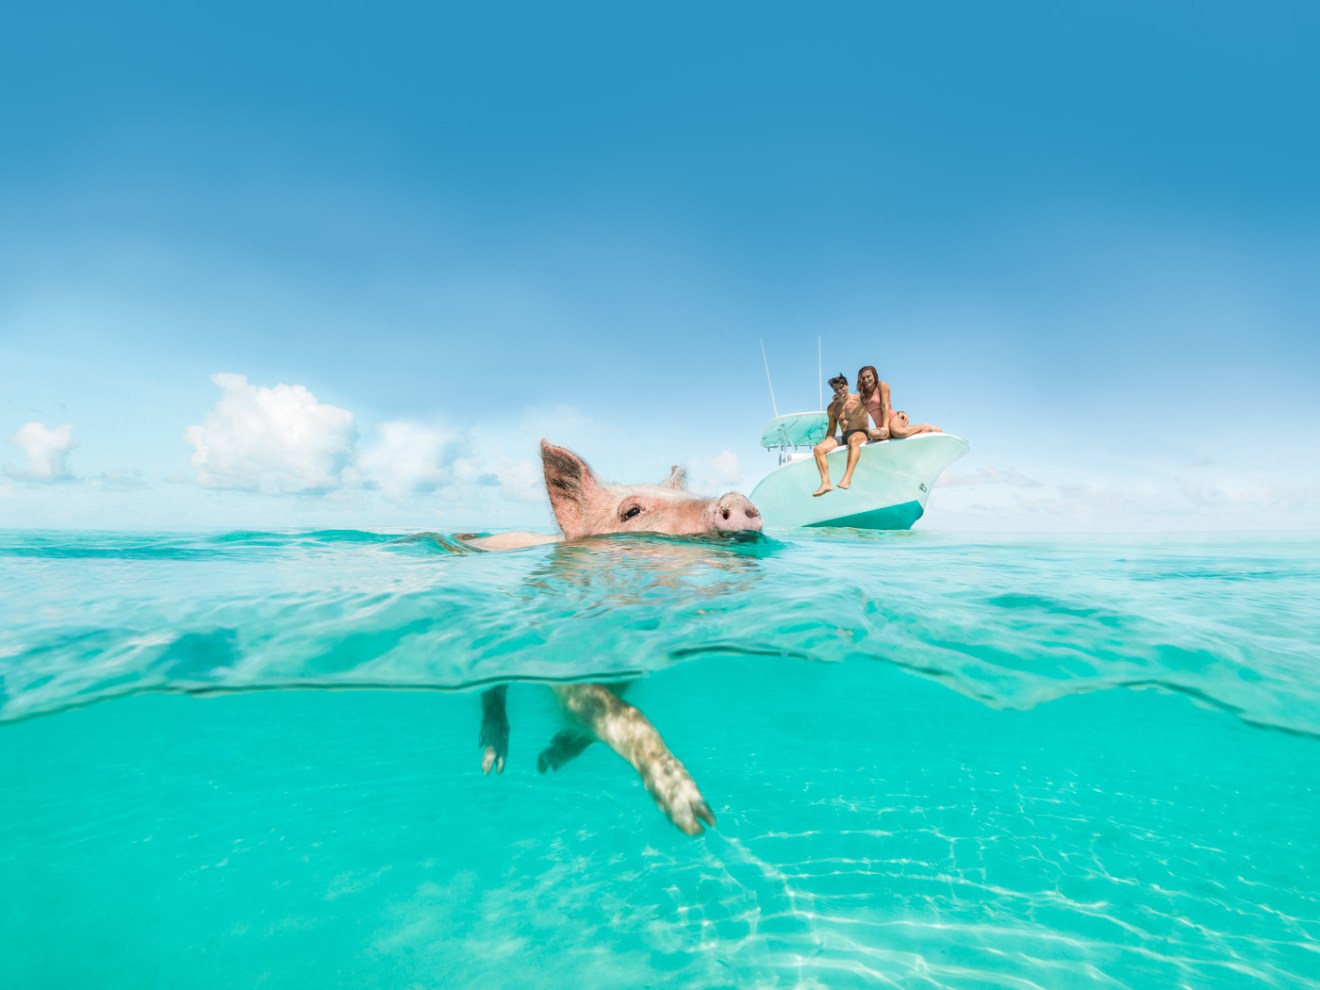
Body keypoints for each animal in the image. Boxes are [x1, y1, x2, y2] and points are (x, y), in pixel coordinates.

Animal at [467, 440, 762, 835]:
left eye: (687, 495)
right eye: (632, 511)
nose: (735, 497)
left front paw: (549, 759)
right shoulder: (565, 666)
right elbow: (628, 718)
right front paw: (697, 818)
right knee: (493, 689)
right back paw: (492, 763)